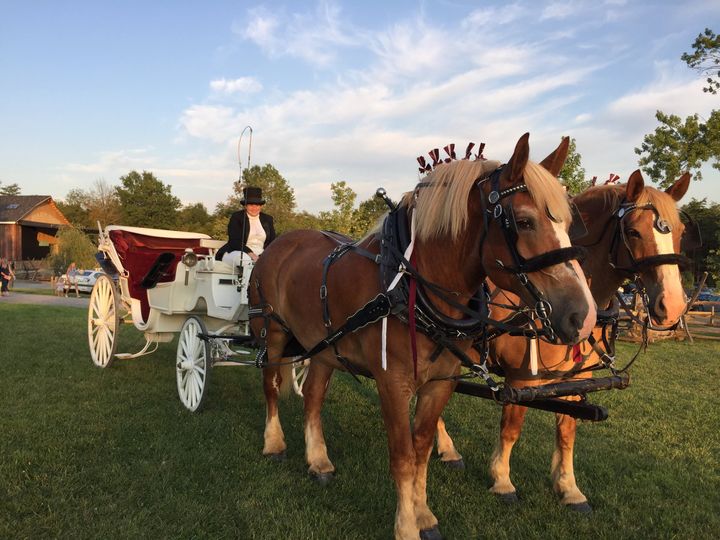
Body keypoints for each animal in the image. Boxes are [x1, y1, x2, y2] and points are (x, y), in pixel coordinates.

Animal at [248, 132, 596, 540]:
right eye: (524, 222)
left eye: (569, 223)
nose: (583, 316)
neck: (411, 283)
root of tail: (280, 243)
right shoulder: (393, 383)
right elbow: (402, 456)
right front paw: (406, 526)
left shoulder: (440, 382)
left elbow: (422, 449)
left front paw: (423, 513)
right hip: (271, 332)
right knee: (271, 384)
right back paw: (274, 442)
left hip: (324, 347)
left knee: (314, 397)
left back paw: (319, 461)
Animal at [434, 171, 692, 512]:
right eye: (633, 231)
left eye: (680, 232)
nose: (673, 306)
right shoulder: (521, 380)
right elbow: (511, 429)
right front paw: (502, 481)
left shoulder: (576, 380)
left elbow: (567, 432)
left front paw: (569, 488)